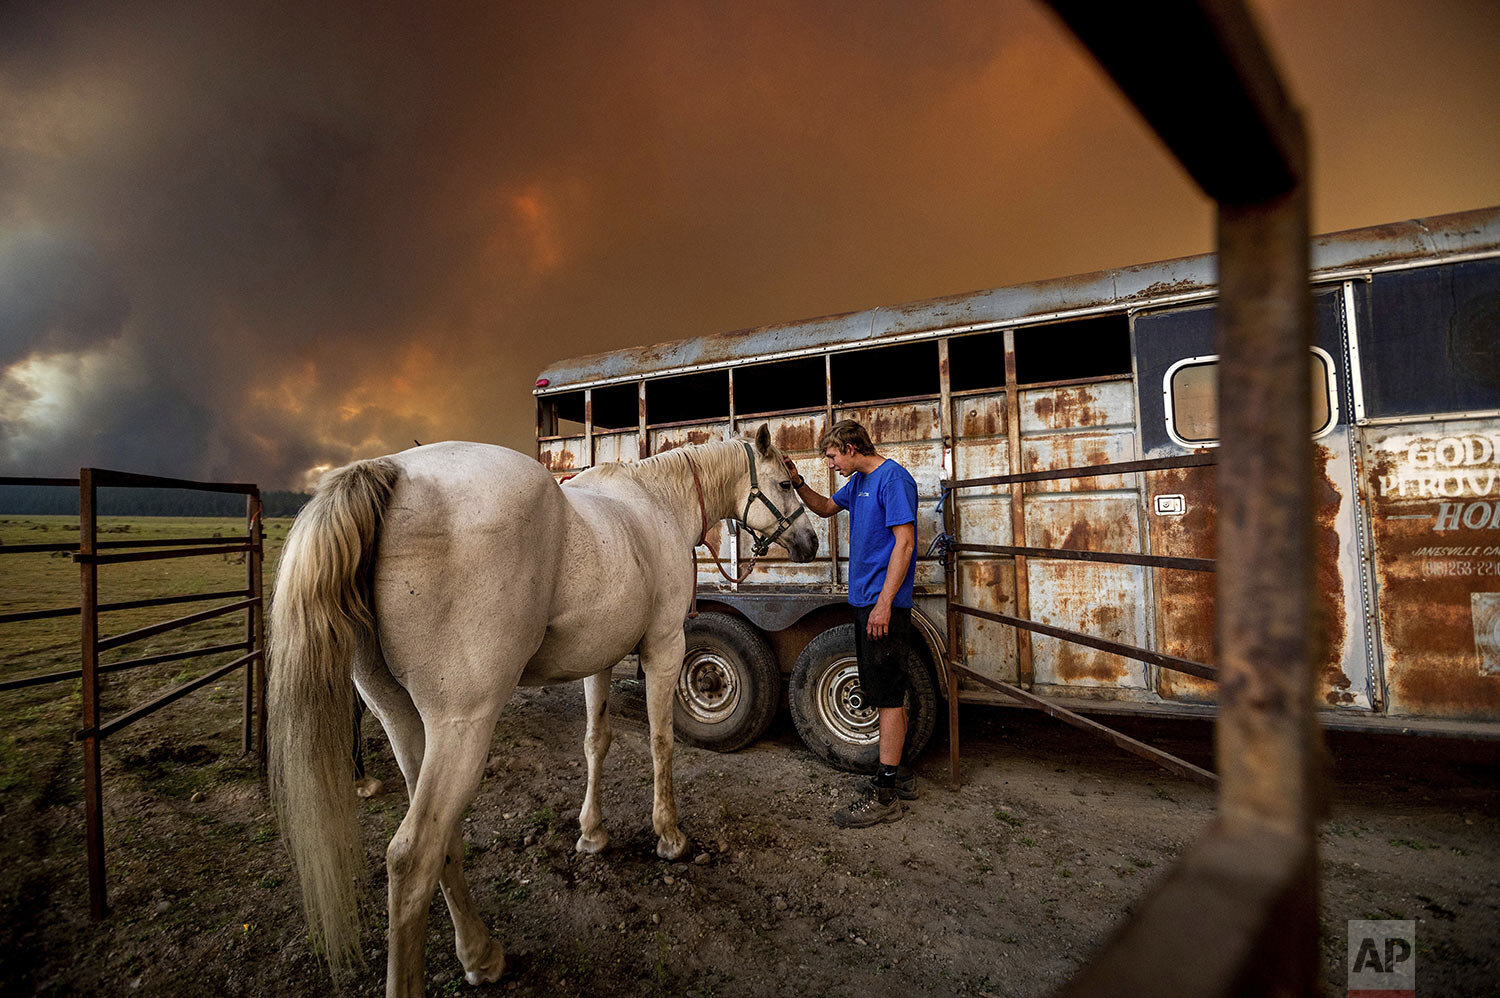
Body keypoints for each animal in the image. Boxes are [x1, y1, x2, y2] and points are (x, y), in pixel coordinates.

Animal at [264, 429, 816, 996]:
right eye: (784, 483)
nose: (810, 544)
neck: (656, 505)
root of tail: (389, 470)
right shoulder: (665, 646)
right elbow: (662, 742)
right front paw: (669, 836)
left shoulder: (600, 658)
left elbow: (597, 742)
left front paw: (592, 834)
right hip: (462, 727)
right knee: (412, 858)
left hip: (402, 722)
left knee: (444, 841)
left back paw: (482, 954)